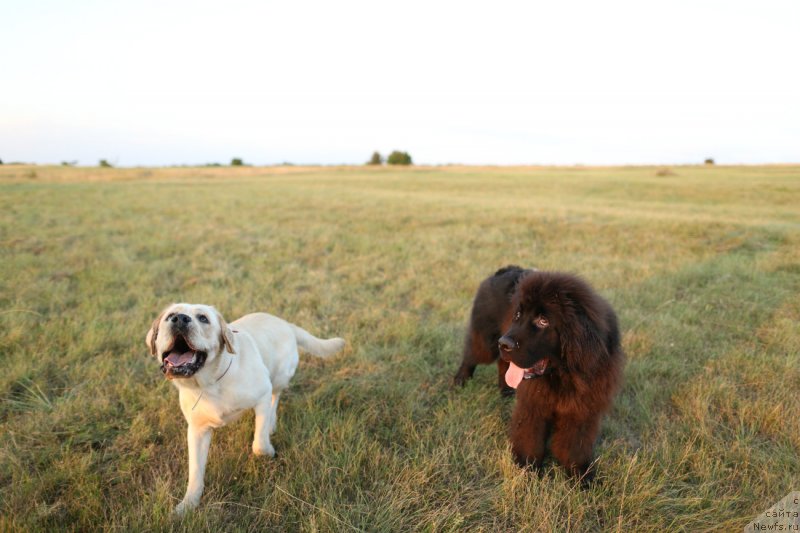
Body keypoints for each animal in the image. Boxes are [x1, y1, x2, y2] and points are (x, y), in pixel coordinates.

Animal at [145, 302, 346, 512]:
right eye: (170, 316)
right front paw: (188, 504)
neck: (210, 384)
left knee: (276, 398)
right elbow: (195, 472)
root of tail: (286, 323)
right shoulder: (197, 430)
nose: (180, 319)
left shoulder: (263, 393)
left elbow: (259, 444)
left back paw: (271, 424)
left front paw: (268, 450)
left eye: (203, 318)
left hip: (279, 378)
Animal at [454, 266, 620, 478]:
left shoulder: (582, 408)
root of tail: (503, 270)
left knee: (502, 365)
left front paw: (580, 475)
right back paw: (459, 382)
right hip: (486, 339)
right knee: (471, 356)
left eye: (543, 321)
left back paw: (506, 392)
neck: (563, 374)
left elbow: (575, 443)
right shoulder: (533, 404)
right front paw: (528, 469)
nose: (504, 343)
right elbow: (530, 436)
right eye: (518, 315)